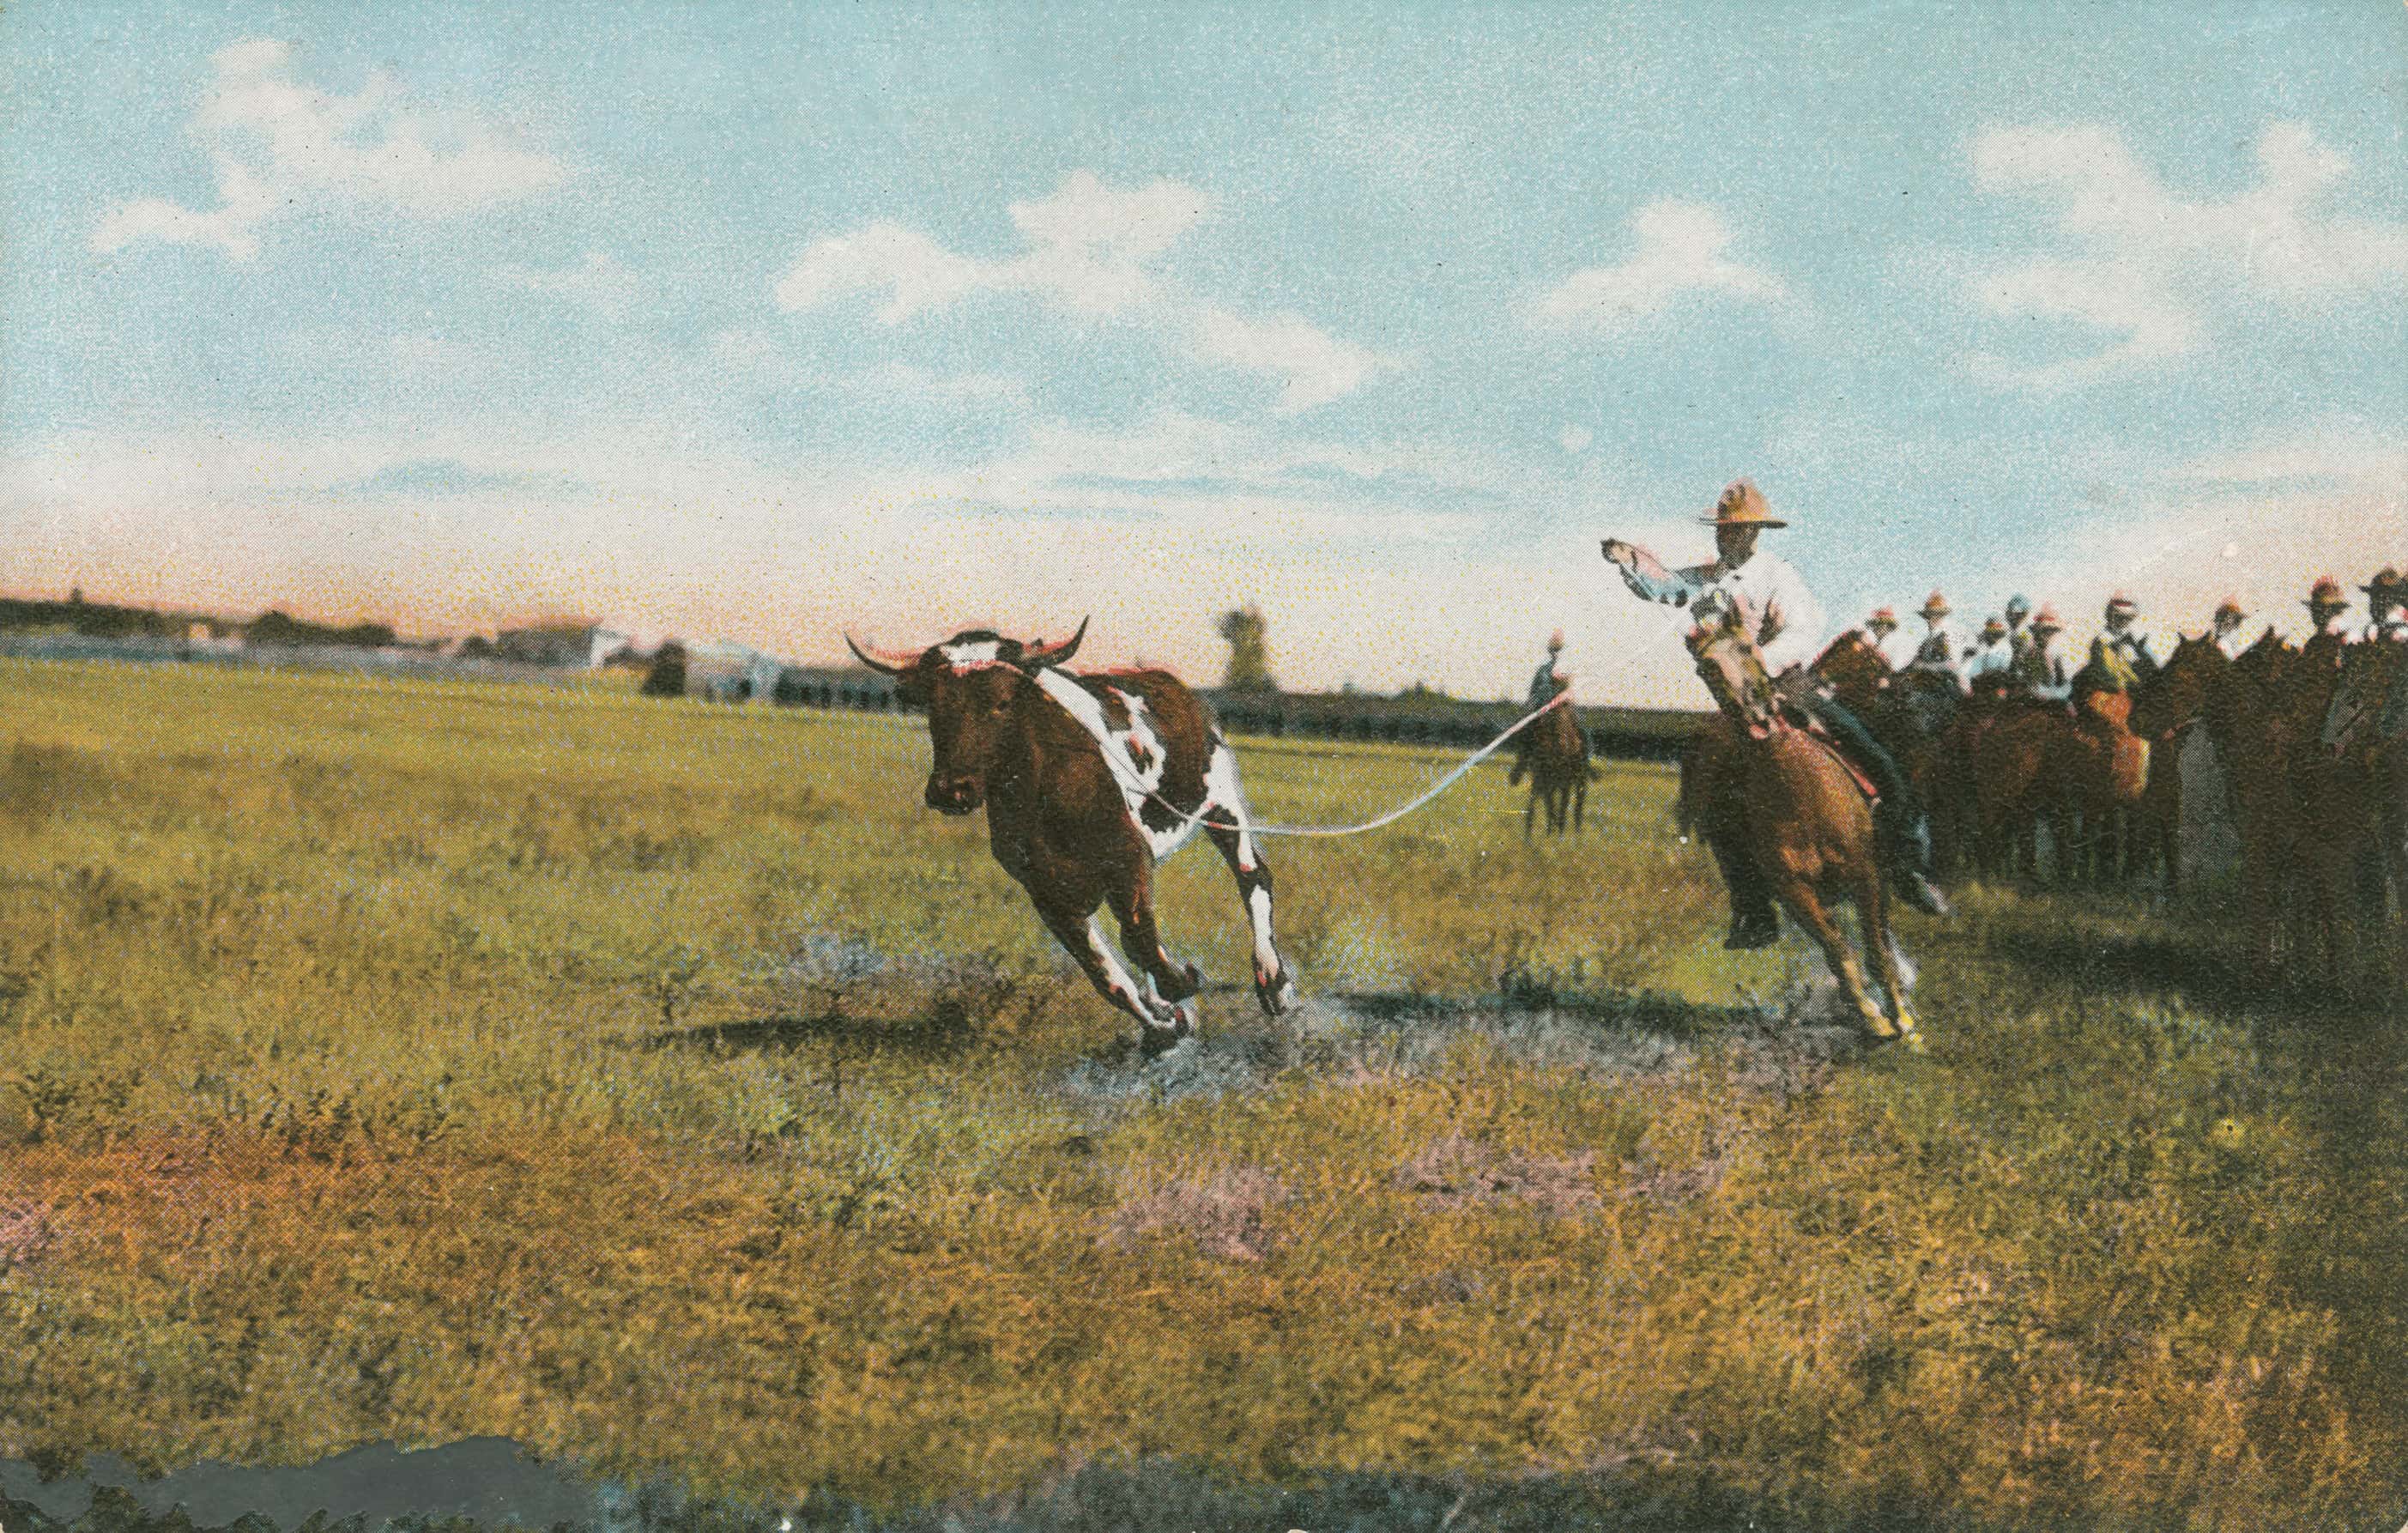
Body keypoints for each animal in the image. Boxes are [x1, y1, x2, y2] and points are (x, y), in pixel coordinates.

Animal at [1685, 595, 1907, 1041]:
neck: (1798, 786)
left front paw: (1902, 1019)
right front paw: (1869, 1015)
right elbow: (1837, 951)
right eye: (1707, 668)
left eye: (1748, 648)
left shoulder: (1866, 874)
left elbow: (1876, 948)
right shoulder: (1794, 892)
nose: (1755, 714)